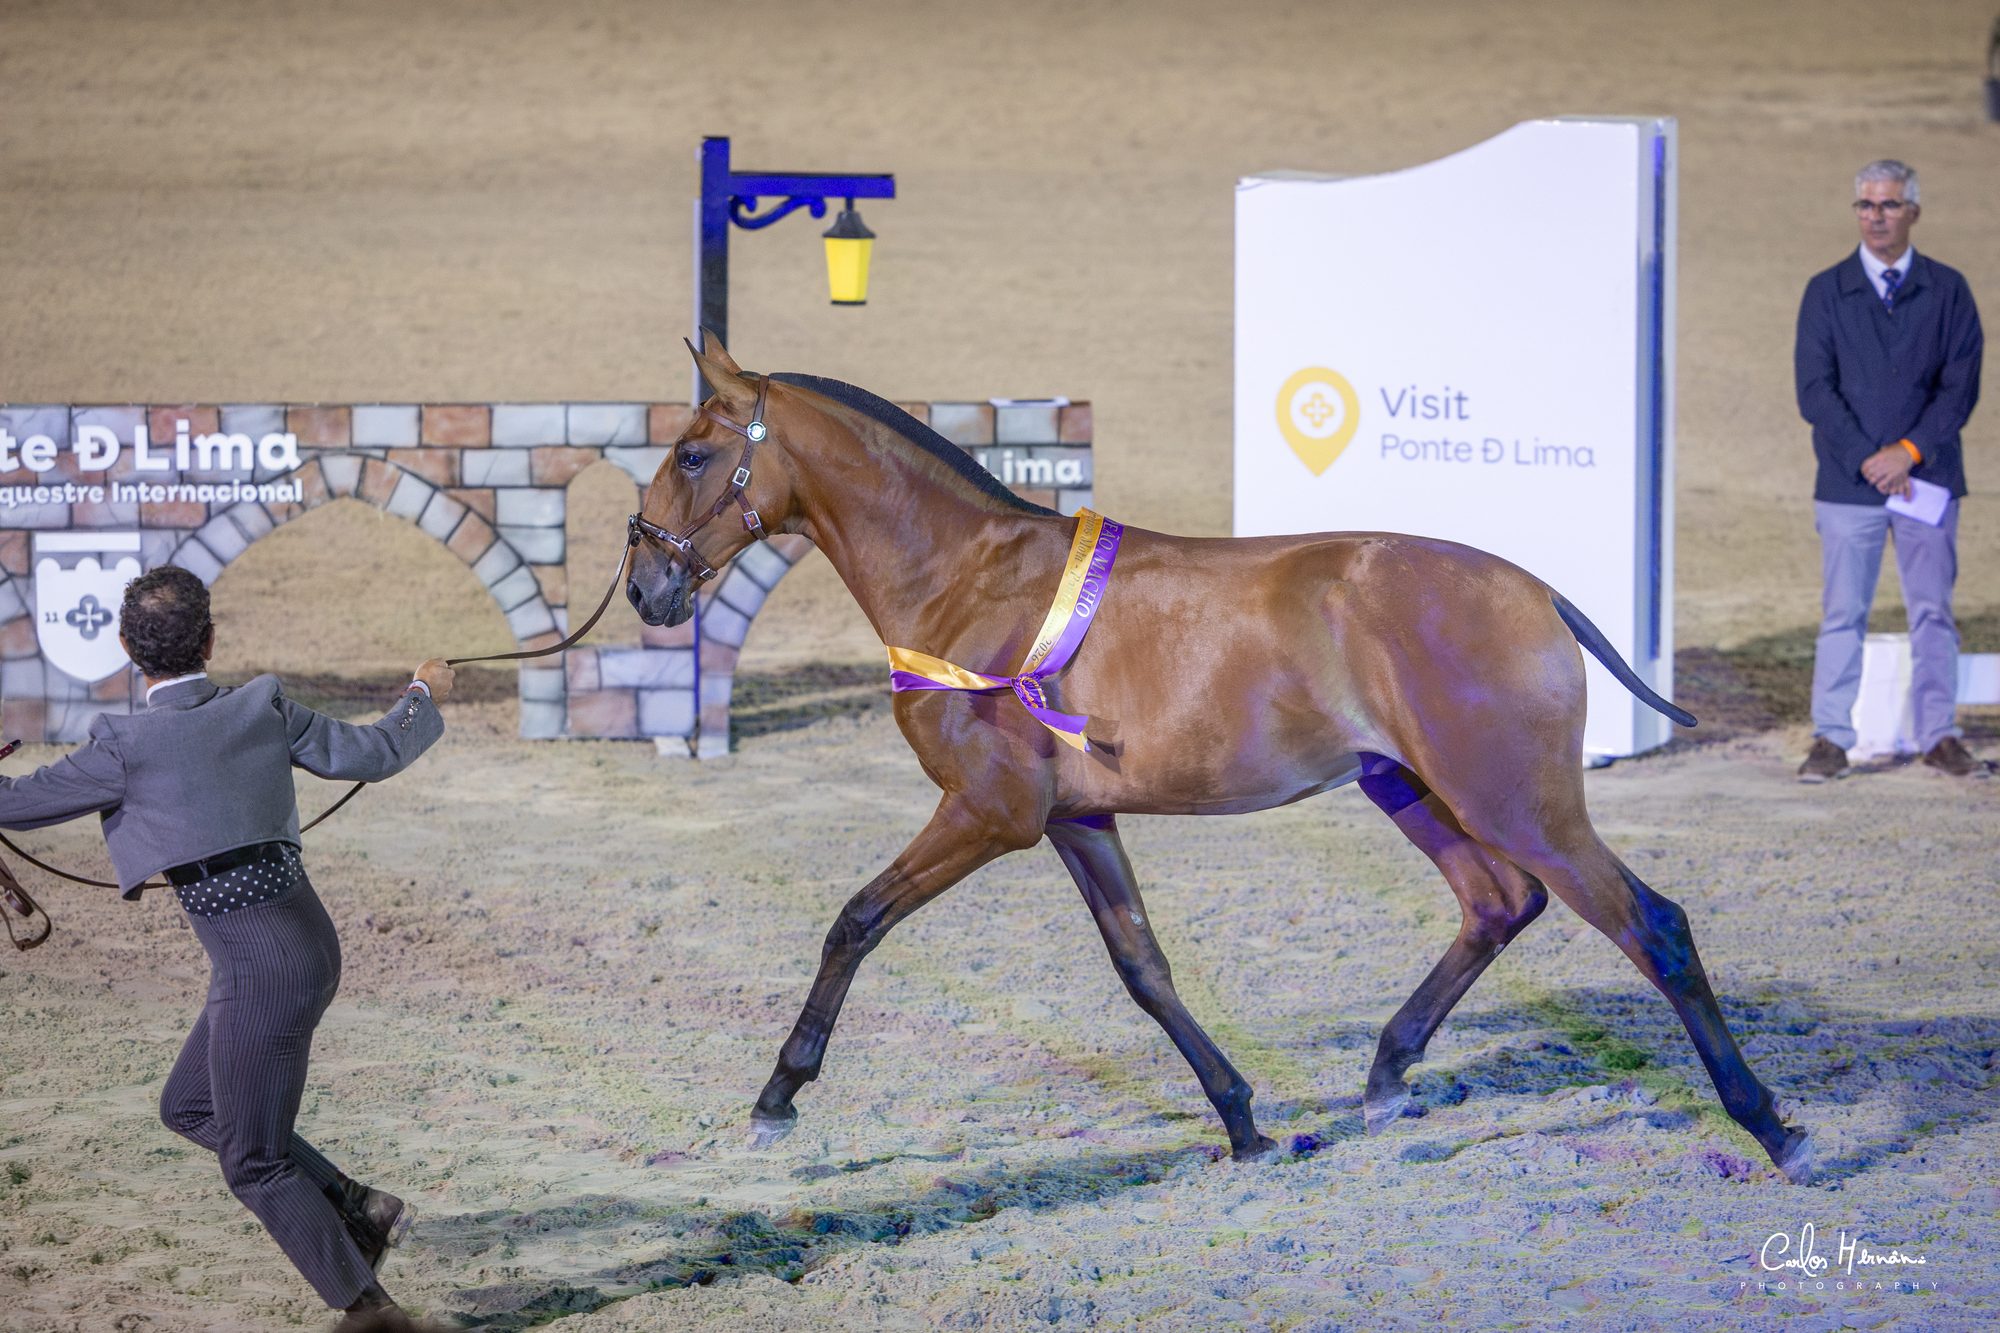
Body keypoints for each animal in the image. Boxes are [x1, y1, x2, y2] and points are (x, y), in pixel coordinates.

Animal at [623, 335, 1814, 1185]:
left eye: (692, 453)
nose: (644, 585)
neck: (967, 582)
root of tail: (1533, 590)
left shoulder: (988, 812)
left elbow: (855, 920)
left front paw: (779, 1093)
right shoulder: (1076, 819)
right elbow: (1143, 968)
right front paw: (1242, 1120)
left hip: (1516, 800)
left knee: (1650, 925)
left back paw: (1772, 1127)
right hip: (1410, 786)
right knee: (1497, 901)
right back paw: (1386, 1072)